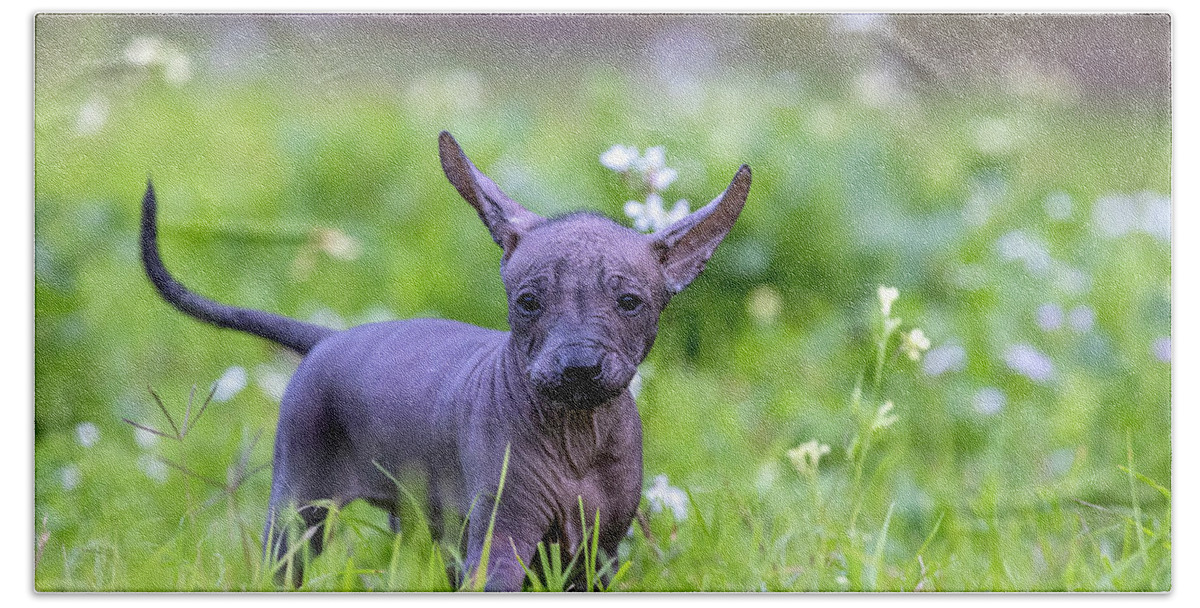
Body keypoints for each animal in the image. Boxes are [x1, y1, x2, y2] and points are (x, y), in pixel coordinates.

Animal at [140, 130, 748, 592]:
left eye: (629, 302)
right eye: (528, 302)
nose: (578, 364)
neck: (576, 435)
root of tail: (328, 339)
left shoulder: (600, 548)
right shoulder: (502, 532)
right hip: (300, 503)